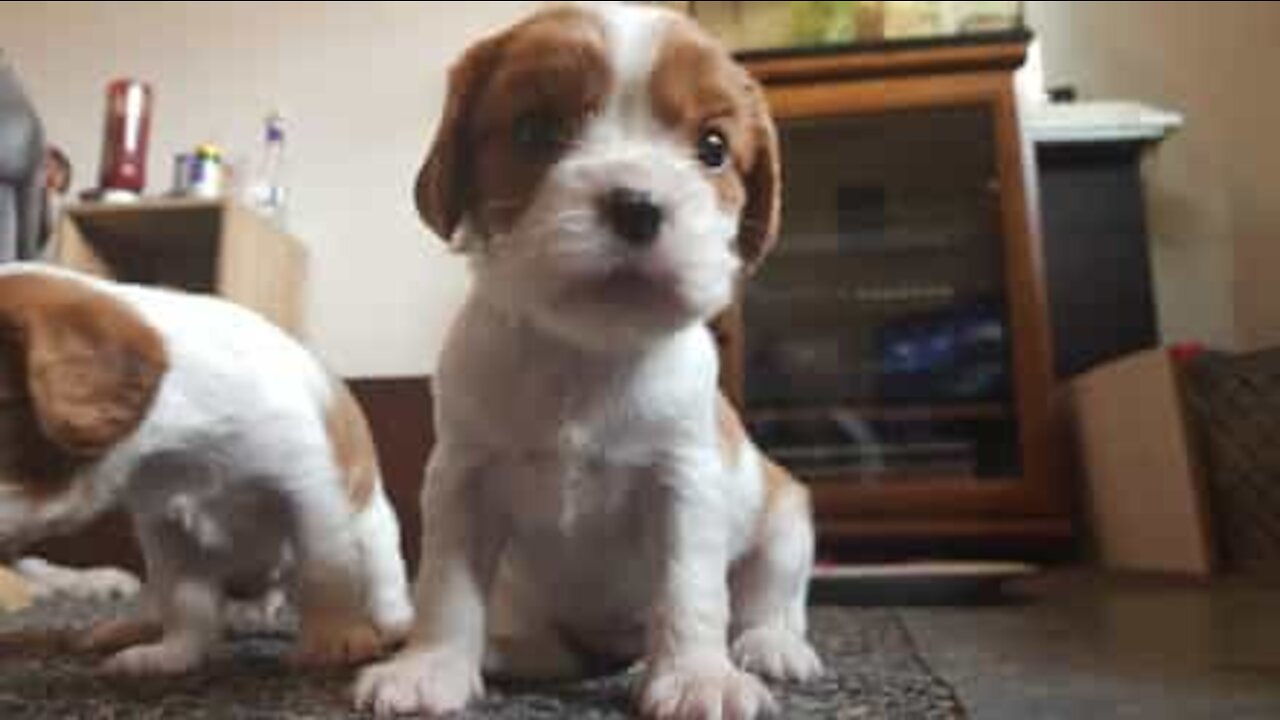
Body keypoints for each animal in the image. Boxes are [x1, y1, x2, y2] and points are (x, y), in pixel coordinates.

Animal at [0, 263, 409, 671]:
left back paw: (390, 625)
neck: (180, 447)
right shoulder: (165, 528)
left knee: (380, 577)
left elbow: (325, 571)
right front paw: (173, 655)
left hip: (373, 528)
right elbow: (185, 603)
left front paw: (334, 640)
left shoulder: (309, 492)